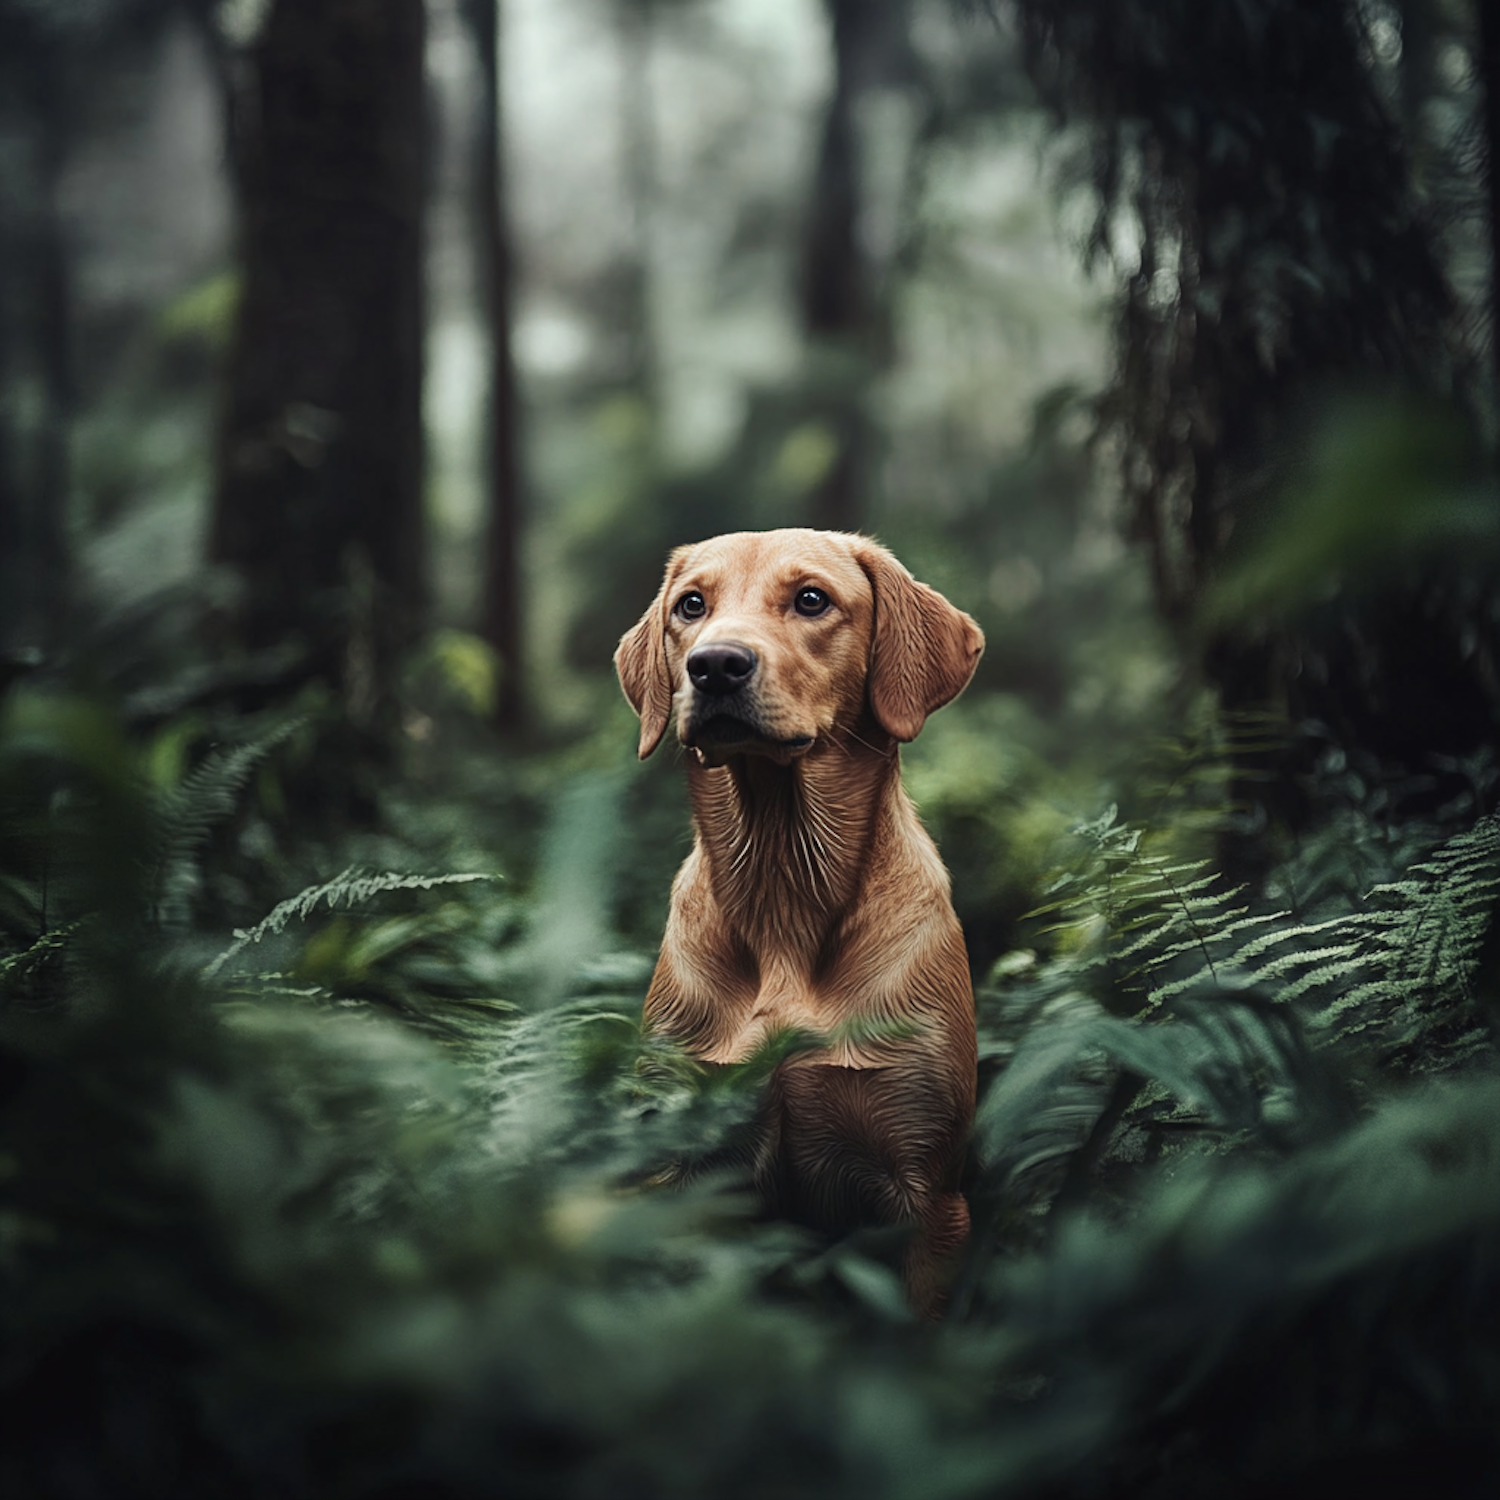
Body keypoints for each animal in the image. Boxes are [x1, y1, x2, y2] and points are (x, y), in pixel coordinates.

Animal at [612, 528, 984, 1314]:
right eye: (691, 605)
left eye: (811, 599)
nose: (715, 665)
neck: (783, 879)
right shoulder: (680, 1168)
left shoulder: (929, 1194)